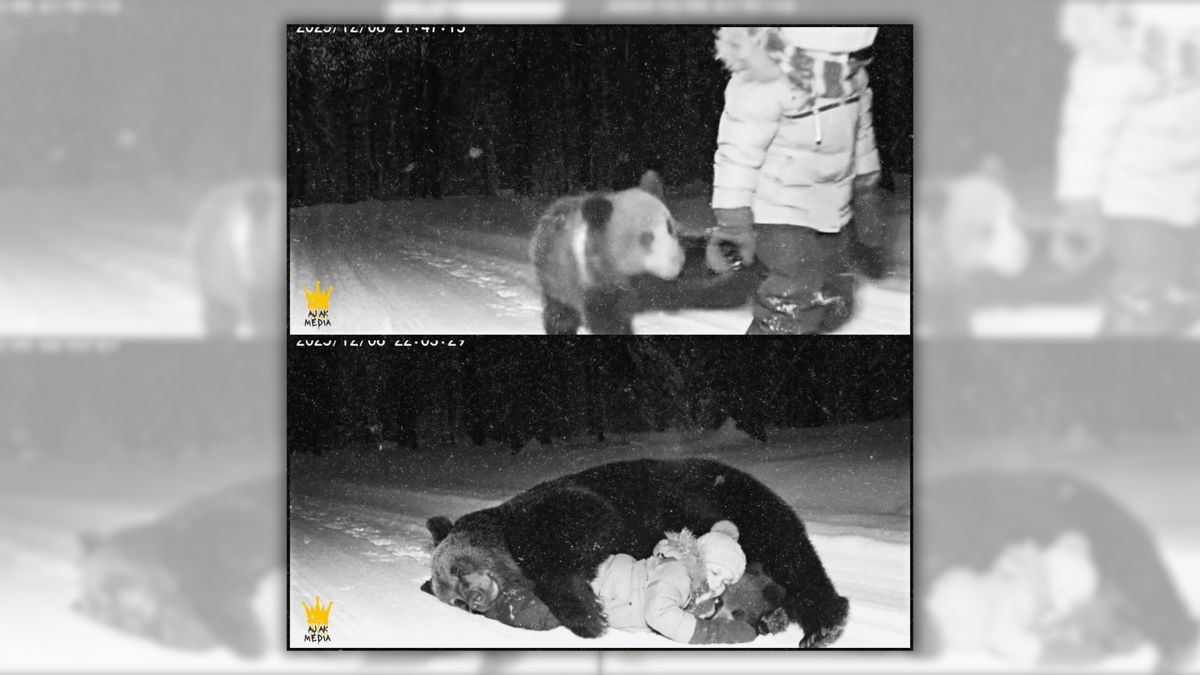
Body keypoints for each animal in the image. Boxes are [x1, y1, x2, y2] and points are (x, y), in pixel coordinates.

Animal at [426, 458, 849, 648]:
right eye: (455, 600)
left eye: (458, 568)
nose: (474, 599)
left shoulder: (562, 509)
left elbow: (588, 527)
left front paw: (588, 616)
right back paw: (774, 617)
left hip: (741, 508)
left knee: (794, 561)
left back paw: (822, 625)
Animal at [530, 170, 686, 334]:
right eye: (646, 237)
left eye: (669, 227)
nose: (675, 263)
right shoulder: (595, 278)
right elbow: (607, 318)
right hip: (554, 276)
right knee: (560, 312)